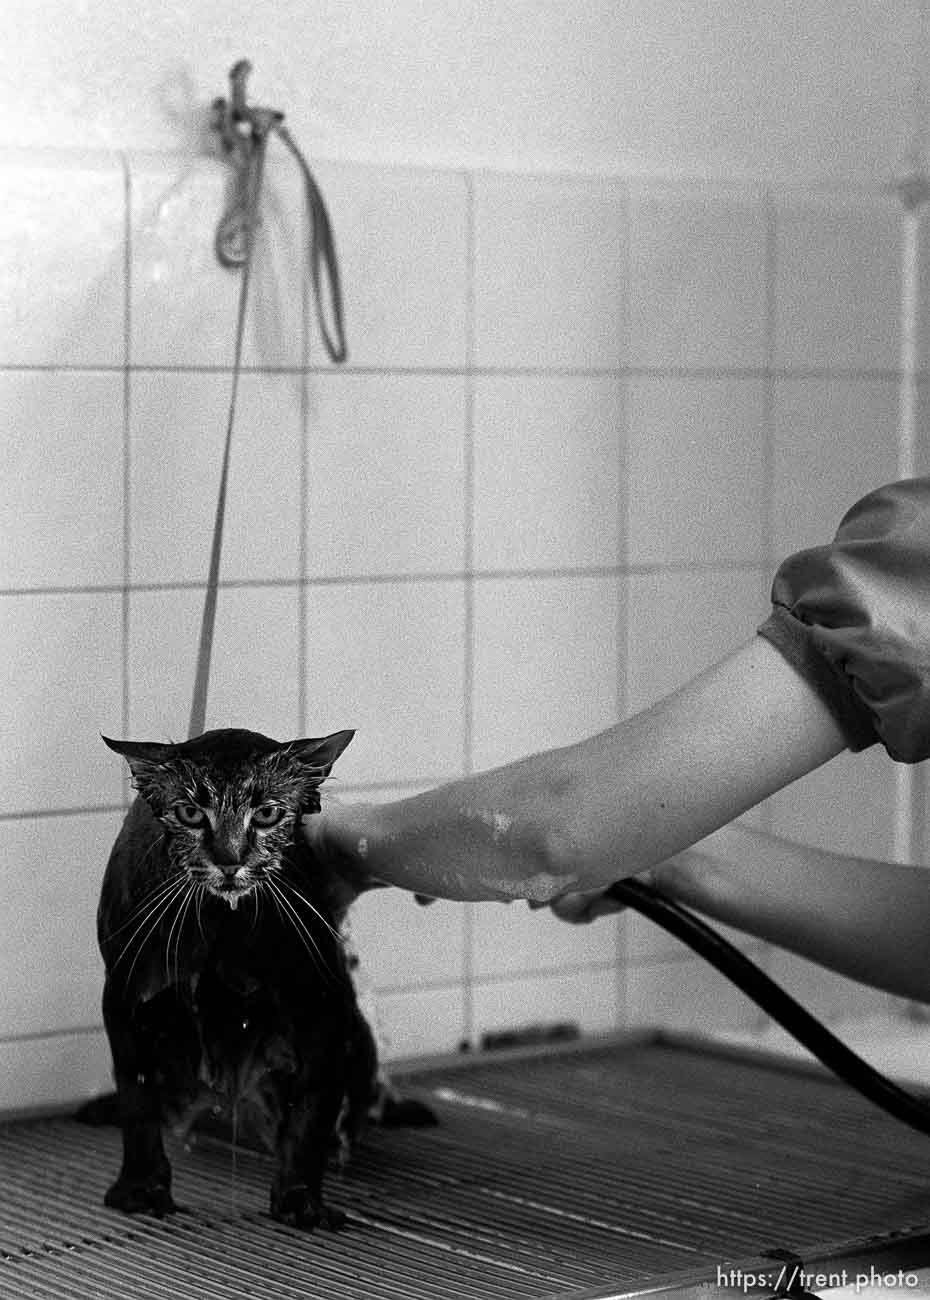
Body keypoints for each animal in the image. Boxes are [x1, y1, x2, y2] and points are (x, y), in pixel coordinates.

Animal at [94, 728, 429, 1232]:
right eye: (191, 812)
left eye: (268, 813)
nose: (230, 860)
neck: (221, 925)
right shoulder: (126, 996)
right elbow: (137, 1098)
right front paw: (140, 1188)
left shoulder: (323, 1004)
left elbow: (312, 1111)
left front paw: (300, 1198)